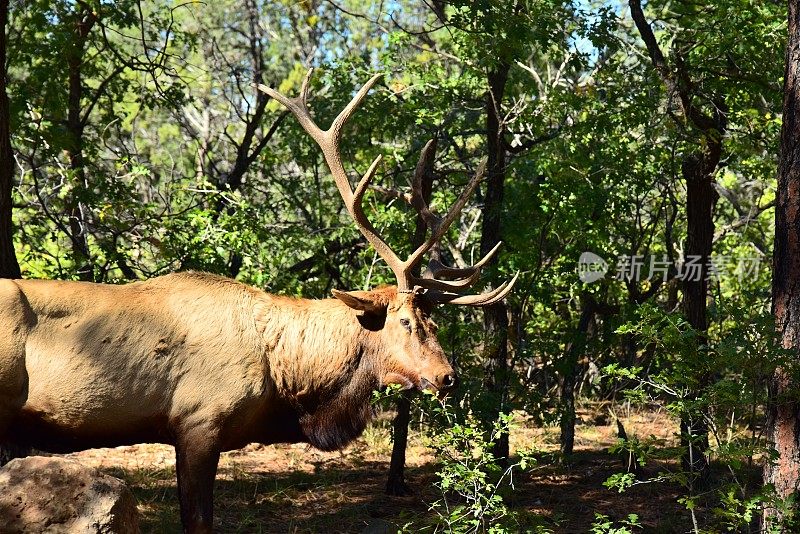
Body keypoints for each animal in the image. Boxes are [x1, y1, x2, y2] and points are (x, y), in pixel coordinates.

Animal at [0, 72, 516, 534]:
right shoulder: (197, 422)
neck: (286, 380)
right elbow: (199, 522)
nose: (446, 376)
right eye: (405, 321)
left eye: (434, 322)